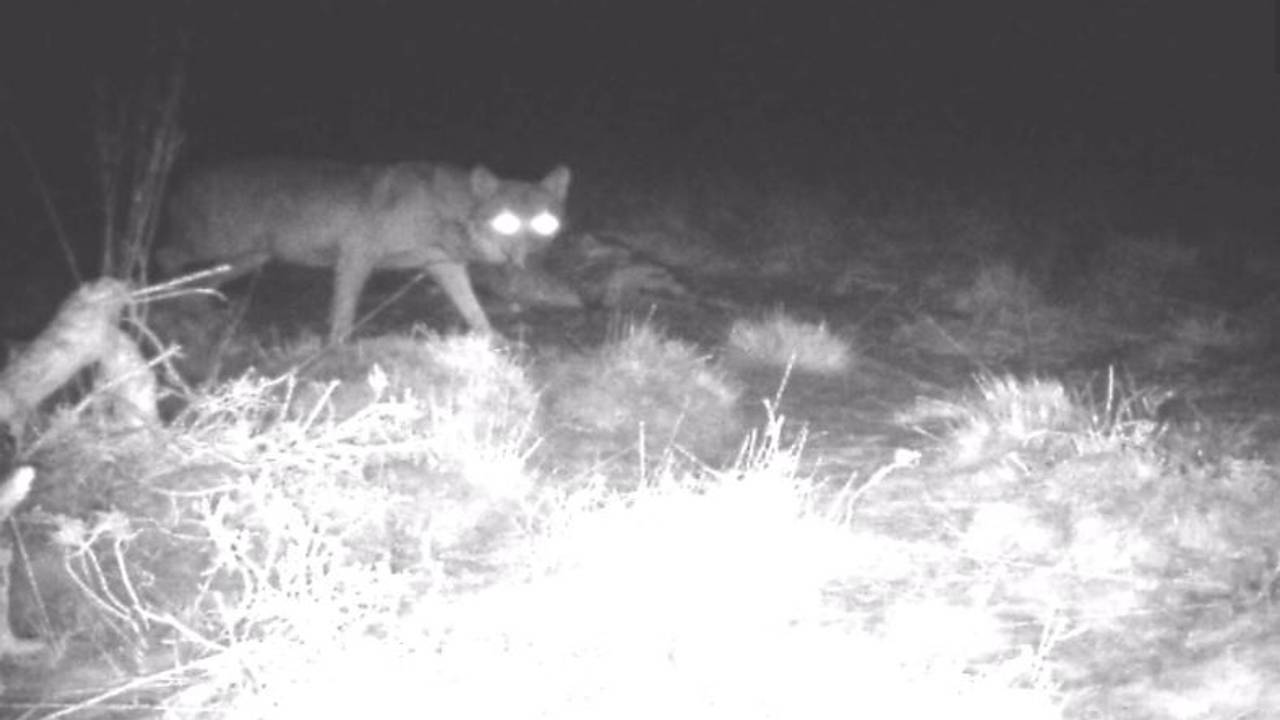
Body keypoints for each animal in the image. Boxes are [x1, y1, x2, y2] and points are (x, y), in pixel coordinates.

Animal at [156, 159, 571, 342]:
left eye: (544, 224)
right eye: (506, 223)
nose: (528, 257)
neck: (441, 207)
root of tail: (181, 174)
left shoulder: (444, 267)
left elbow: (474, 310)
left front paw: (495, 341)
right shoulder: (357, 256)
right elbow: (343, 313)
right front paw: (336, 349)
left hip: (244, 260)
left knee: (201, 283)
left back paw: (196, 313)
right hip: (215, 248)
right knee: (164, 257)